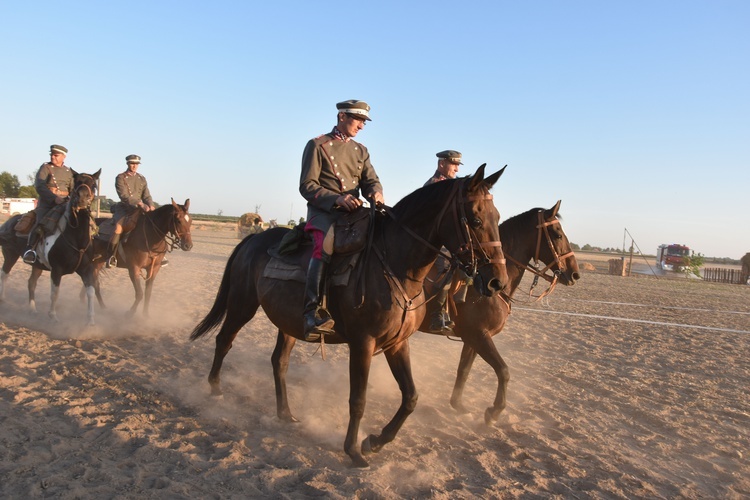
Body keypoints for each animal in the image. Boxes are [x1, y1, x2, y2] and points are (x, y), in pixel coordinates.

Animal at [0, 170, 102, 326]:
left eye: (93, 185)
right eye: (77, 182)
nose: (82, 198)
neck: (75, 238)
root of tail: (8, 223)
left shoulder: (86, 269)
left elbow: (90, 291)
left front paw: (90, 319)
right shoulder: (57, 269)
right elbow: (55, 293)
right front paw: (53, 316)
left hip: (36, 265)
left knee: (31, 283)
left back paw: (32, 309)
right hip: (10, 255)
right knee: (4, 274)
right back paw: (3, 299)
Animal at [192, 166, 512, 466]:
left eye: (497, 218)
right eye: (476, 220)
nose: (497, 282)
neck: (394, 266)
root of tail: (253, 239)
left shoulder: (398, 343)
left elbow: (411, 397)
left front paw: (375, 441)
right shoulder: (363, 343)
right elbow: (358, 398)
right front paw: (353, 450)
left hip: (288, 323)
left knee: (279, 361)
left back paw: (285, 413)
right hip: (242, 304)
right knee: (224, 340)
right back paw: (215, 390)